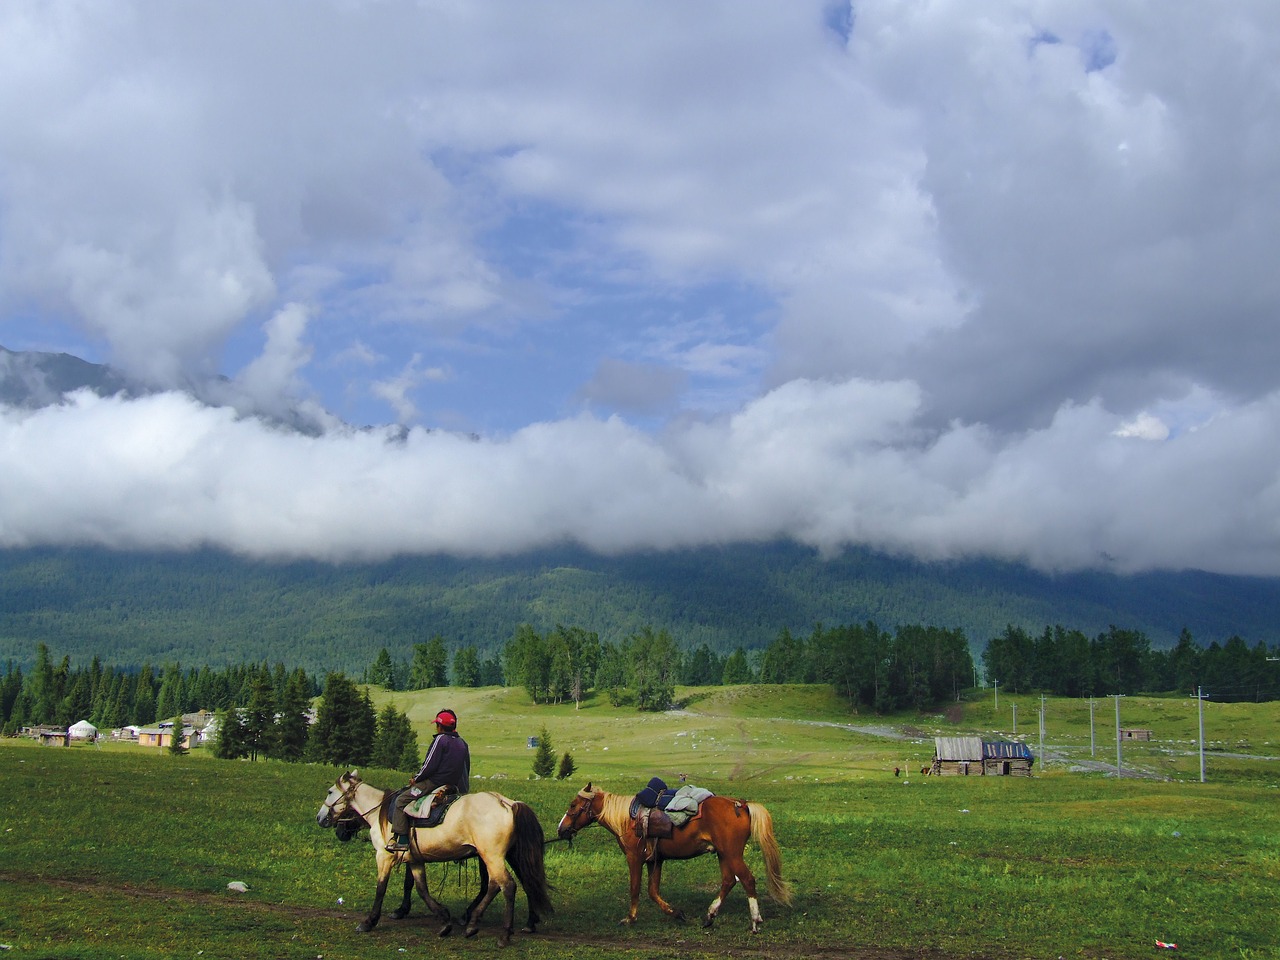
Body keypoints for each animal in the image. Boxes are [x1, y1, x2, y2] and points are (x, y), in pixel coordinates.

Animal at [314, 773, 550, 942]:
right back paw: (477, 923)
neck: (379, 812)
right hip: (500, 856)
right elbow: (421, 888)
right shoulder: (415, 859)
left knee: (507, 885)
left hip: (491, 856)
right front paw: (444, 920)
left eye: (329, 791)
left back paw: (504, 934)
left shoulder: (384, 856)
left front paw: (369, 922)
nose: (320, 818)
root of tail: (507, 803)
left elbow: (381, 888)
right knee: (505, 883)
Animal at [560, 783, 788, 936]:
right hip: (723, 854)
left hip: (732, 854)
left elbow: (635, 888)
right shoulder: (655, 860)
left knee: (747, 880)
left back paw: (755, 922)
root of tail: (741, 805)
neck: (626, 819)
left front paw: (630, 918)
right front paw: (676, 913)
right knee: (729, 881)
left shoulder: (634, 858)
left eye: (573, 805)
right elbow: (653, 891)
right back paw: (710, 915)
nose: (561, 830)